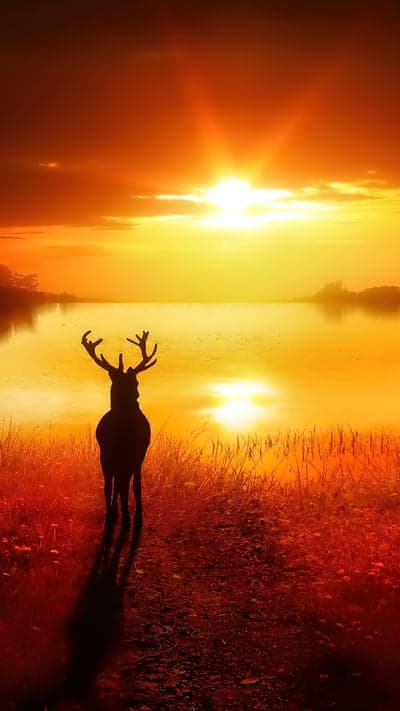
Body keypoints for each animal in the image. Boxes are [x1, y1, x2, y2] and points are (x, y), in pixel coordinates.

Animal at [81, 329, 157, 530]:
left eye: (136, 381)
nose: (136, 394)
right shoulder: (107, 452)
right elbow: (112, 485)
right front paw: (118, 513)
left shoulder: (138, 452)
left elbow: (132, 484)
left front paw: (135, 515)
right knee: (117, 481)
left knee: (122, 481)